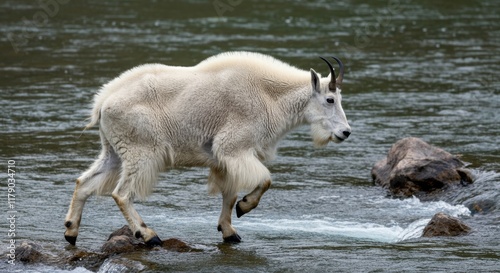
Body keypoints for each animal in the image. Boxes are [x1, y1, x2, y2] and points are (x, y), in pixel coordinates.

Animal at [63, 51, 352, 244]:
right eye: (330, 99)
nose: (345, 132)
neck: (270, 96)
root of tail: (102, 103)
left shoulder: (226, 159)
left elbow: (229, 194)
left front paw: (229, 231)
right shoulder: (233, 148)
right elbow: (265, 180)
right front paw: (245, 207)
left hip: (114, 150)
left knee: (84, 183)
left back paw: (70, 230)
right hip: (141, 150)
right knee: (121, 193)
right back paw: (147, 234)